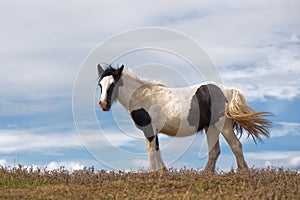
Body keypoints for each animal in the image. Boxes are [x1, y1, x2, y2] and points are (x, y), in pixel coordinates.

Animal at [96, 64, 272, 172]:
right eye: (100, 85)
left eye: (114, 84)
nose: (103, 104)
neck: (142, 96)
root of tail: (228, 91)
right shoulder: (152, 131)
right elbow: (155, 149)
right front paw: (163, 172)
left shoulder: (149, 129)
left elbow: (151, 150)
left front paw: (153, 174)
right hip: (211, 128)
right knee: (215, 151)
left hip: (224, 126)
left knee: (236, 146)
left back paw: (244, 173)